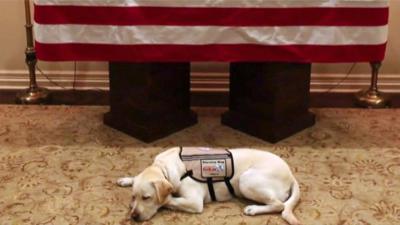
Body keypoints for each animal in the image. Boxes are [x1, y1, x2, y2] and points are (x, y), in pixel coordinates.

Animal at [115, 147, 300, 224]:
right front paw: (127, 180)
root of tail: (291, 175)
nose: (133, 217)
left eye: (147, 197)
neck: (164, 167)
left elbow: (168, 199)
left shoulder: (194, 202)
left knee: (279, 205)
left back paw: (253, 209)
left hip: (246, 180)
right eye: (134, 196)